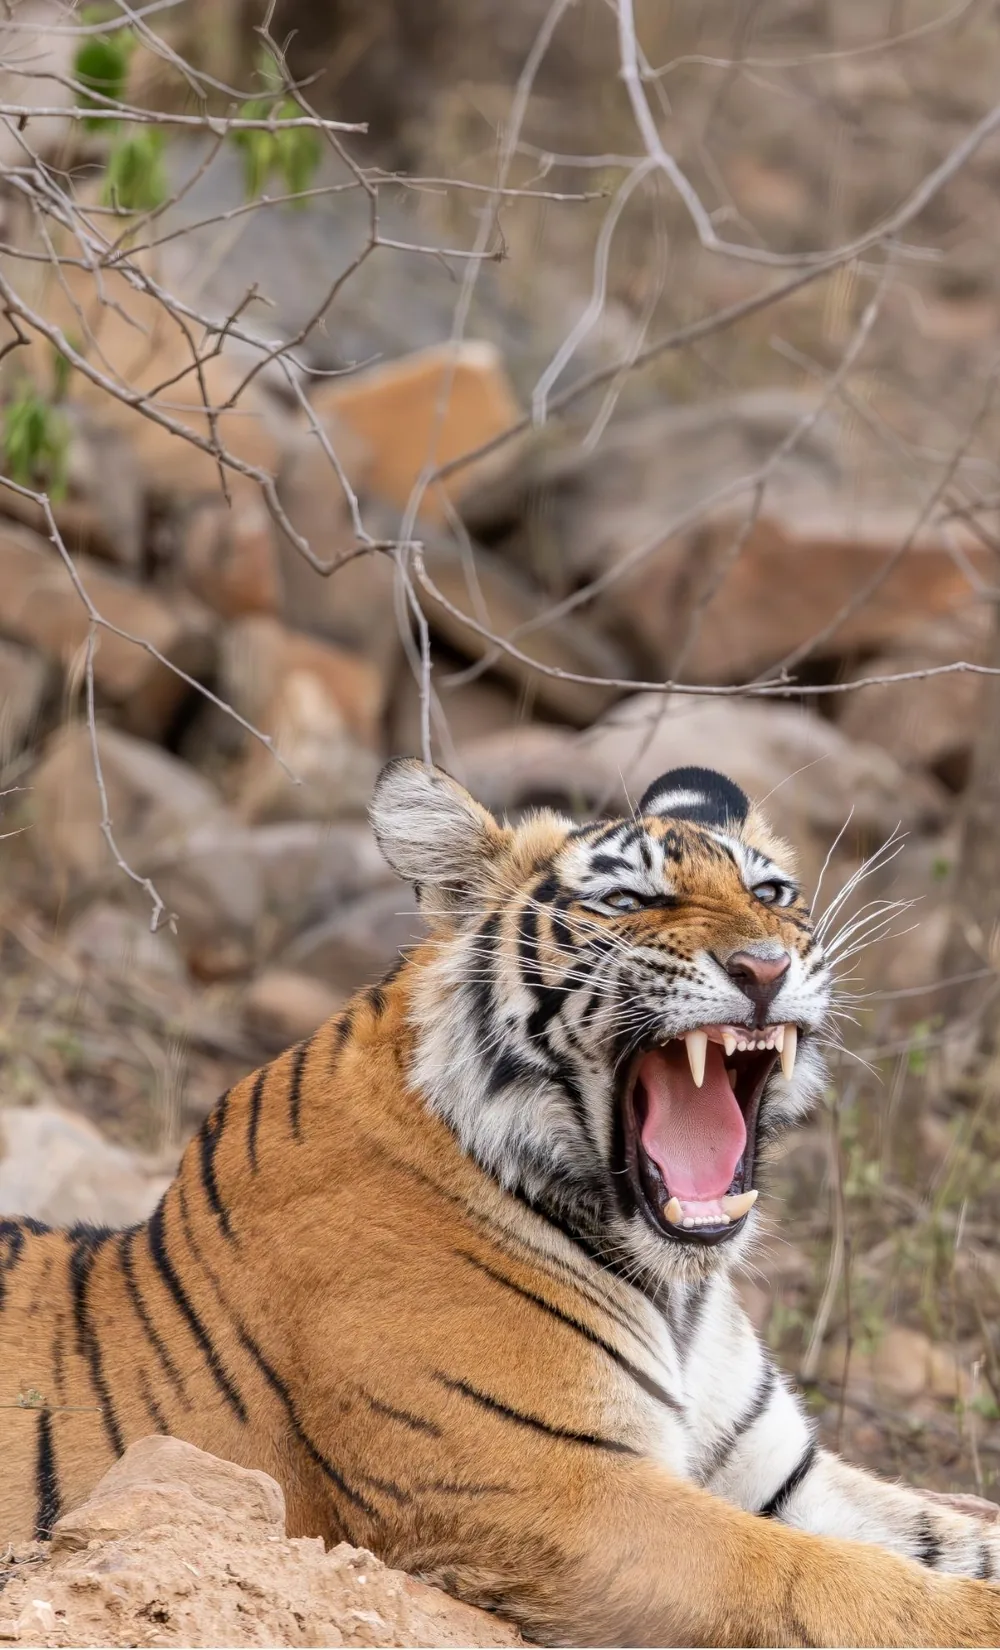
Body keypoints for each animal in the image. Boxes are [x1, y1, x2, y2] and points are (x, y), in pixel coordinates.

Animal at [2, 756, 1000, 1648]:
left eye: (773, 891)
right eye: (627, 902)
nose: (763, 967)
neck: (679, 1291)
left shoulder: (777, 1474)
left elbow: (951, 1536)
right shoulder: (551, 1490)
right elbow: (825, 1580)